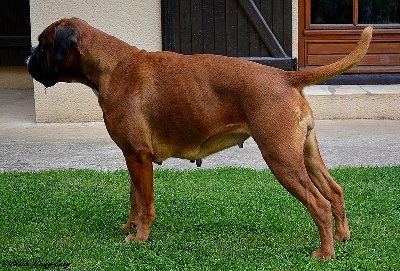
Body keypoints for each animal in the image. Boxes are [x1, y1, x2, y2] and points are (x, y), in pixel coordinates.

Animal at [27, 18, 372, 260]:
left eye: (41, 45)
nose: (28, 61)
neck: (111, 66)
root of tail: (285, 76)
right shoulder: (131, 157)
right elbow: (134, 198)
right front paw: (130, 227)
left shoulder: (139, 156)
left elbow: (146, 203)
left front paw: (140, 238)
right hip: (307, 156)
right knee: (334, 192)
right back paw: (341, 237)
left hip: (282, 160)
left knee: (319, 204)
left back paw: (325, 253)